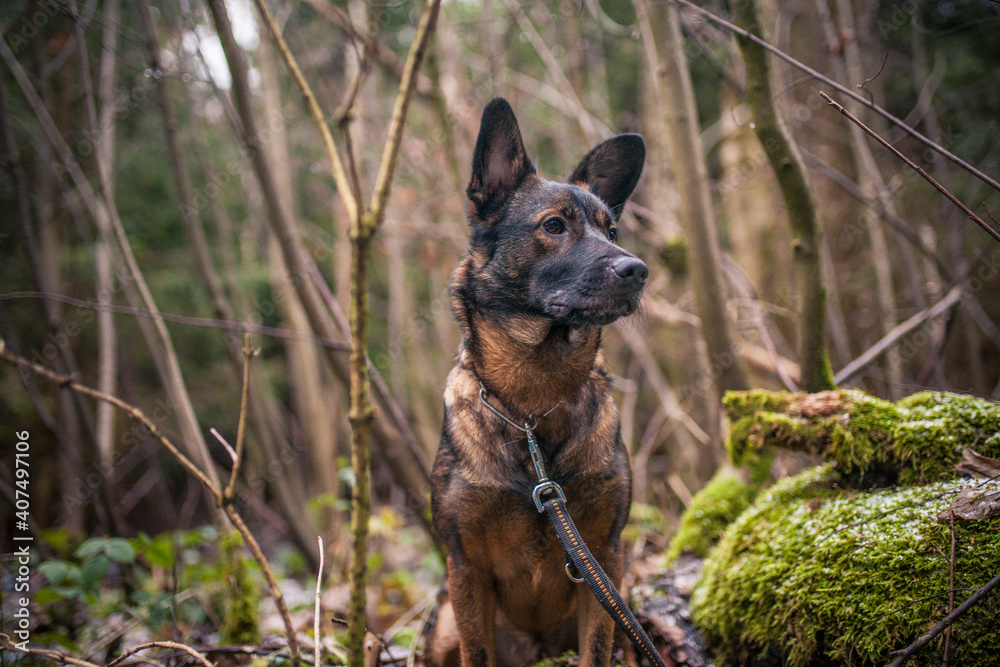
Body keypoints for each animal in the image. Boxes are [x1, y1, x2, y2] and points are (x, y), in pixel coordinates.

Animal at [430, 99, 648, 667]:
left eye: (611, 232)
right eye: (554, 226)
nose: (638, 270)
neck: (533, 404)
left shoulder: (604, 560)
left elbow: (596, 650)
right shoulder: (466, 570)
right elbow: (476, 654)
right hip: (441, 627)